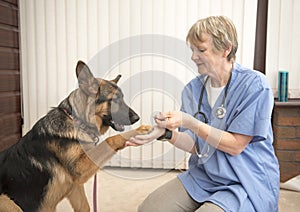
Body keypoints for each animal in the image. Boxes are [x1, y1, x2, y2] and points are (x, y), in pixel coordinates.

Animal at [0, 60, 150, 211]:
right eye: (114, 100)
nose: (137, 118)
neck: (77, 120)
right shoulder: (80, 169)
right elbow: (110, 140)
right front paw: (139, 130)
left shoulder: (75, 188)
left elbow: (86, 207)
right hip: (8, 201)